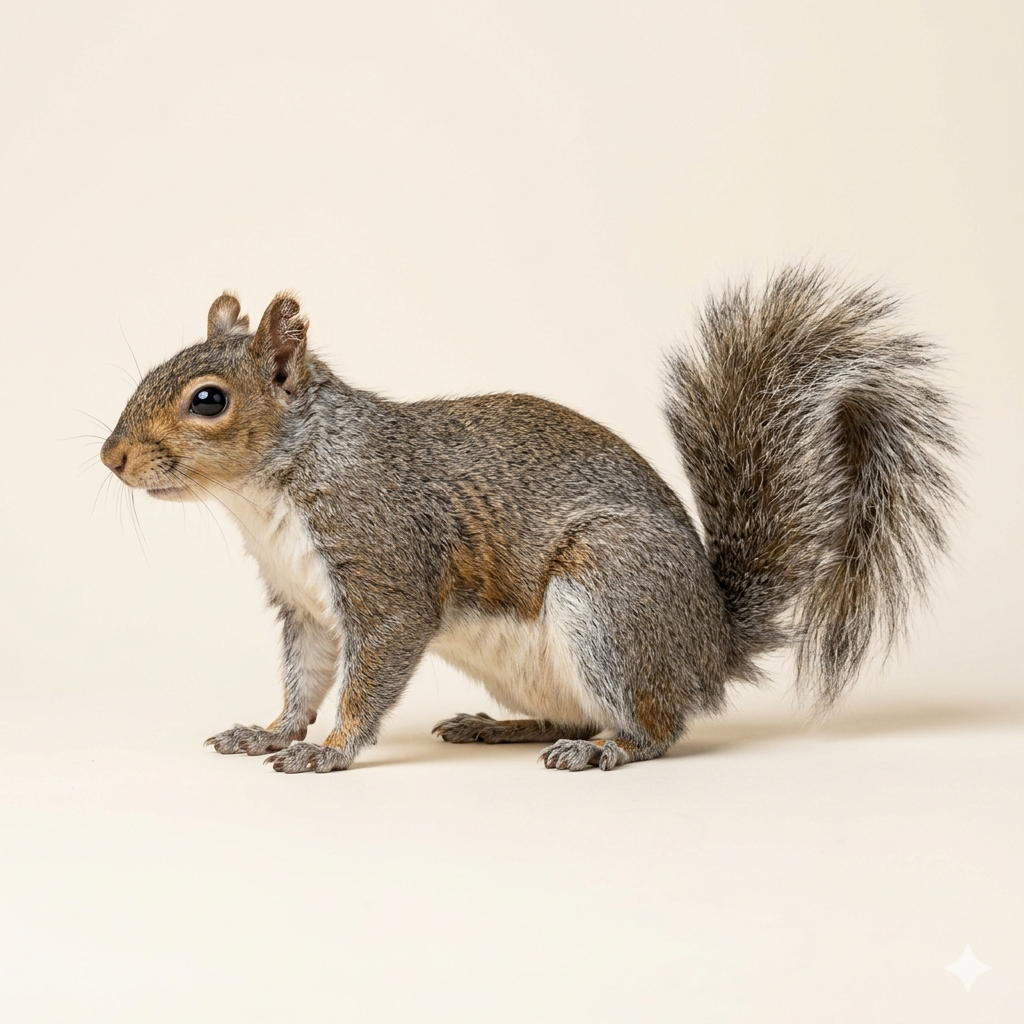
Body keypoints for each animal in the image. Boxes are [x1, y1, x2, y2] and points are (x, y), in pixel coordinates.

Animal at [99, 265, 959, 773]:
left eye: (208, 399)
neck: (271, 490)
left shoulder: (385, 568)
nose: (112, 457)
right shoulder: (302, 604)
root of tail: (711, 646)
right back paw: (503, 728)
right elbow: (302, 678)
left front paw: (334, 750)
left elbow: (365, 679)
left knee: (658, 729)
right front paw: (272, 732)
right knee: (564, 713)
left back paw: (605, 750)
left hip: (609, 600)